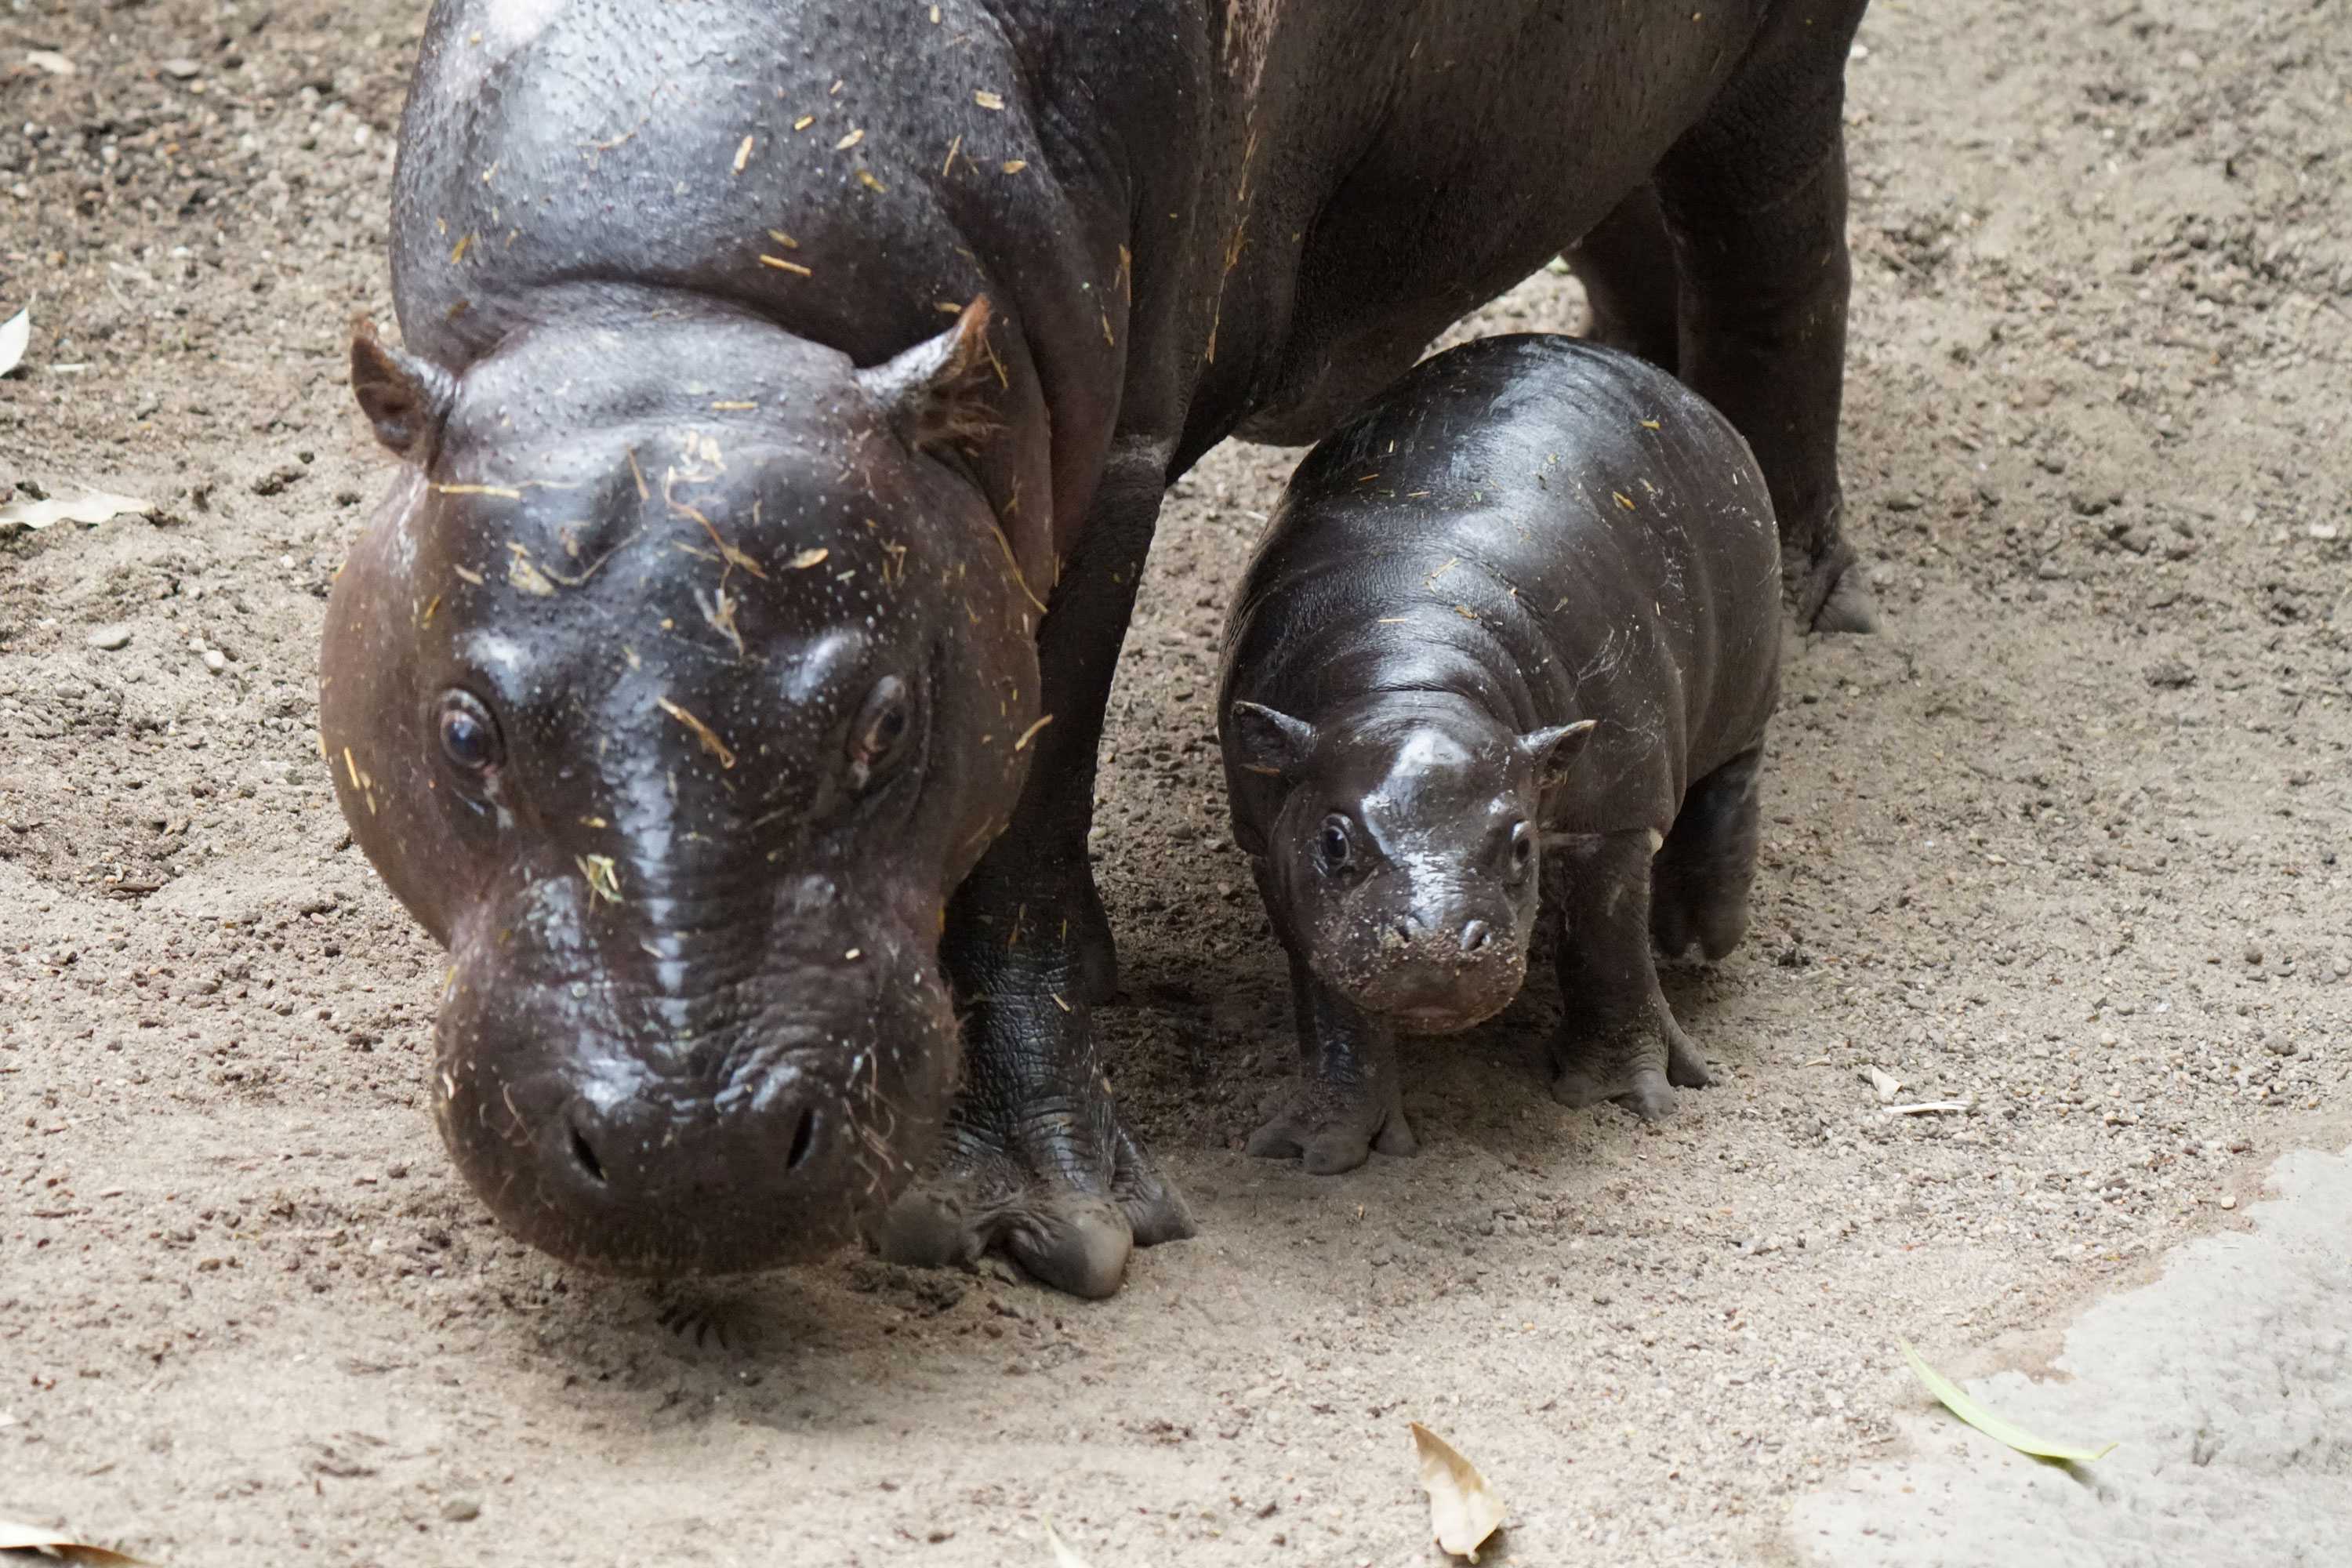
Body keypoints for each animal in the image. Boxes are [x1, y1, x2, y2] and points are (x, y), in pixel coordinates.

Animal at [1223, 343, 1769, 1175]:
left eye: (1520, 845)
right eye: (1334, 841)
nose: (1439, 943)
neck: (1413, 675)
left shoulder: (1612, 810)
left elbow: (1606, 947)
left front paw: (1628, 1095)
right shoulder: (1270, 839)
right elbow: (1327, 993)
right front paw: (1318, 1147)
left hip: (1747, 672)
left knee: (1731, 779)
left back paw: (1700, 937)